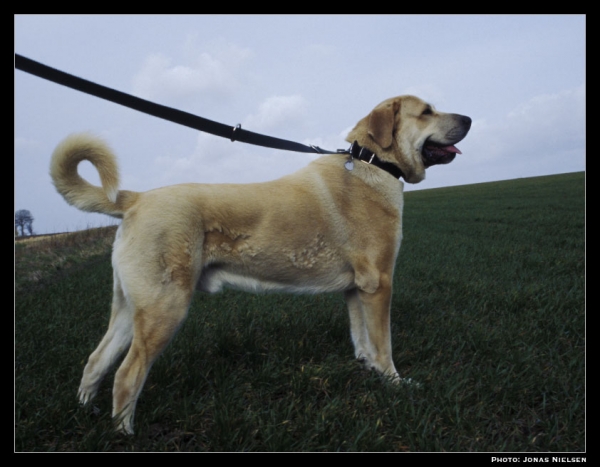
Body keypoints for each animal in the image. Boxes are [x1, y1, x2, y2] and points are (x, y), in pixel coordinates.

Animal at [51, 95, 472, 436]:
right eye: (427, 111)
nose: (469, 118)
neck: (374, 164)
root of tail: (136, 198)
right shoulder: (379, 283)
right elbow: (383, 345)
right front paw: (396, 384)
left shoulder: (356, 289)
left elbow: (362, 340)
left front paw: (369, 371)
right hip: (163, 309)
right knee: (126, 375)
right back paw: (125, 435)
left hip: (129, 307)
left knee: (96, 361)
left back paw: (85, 414)